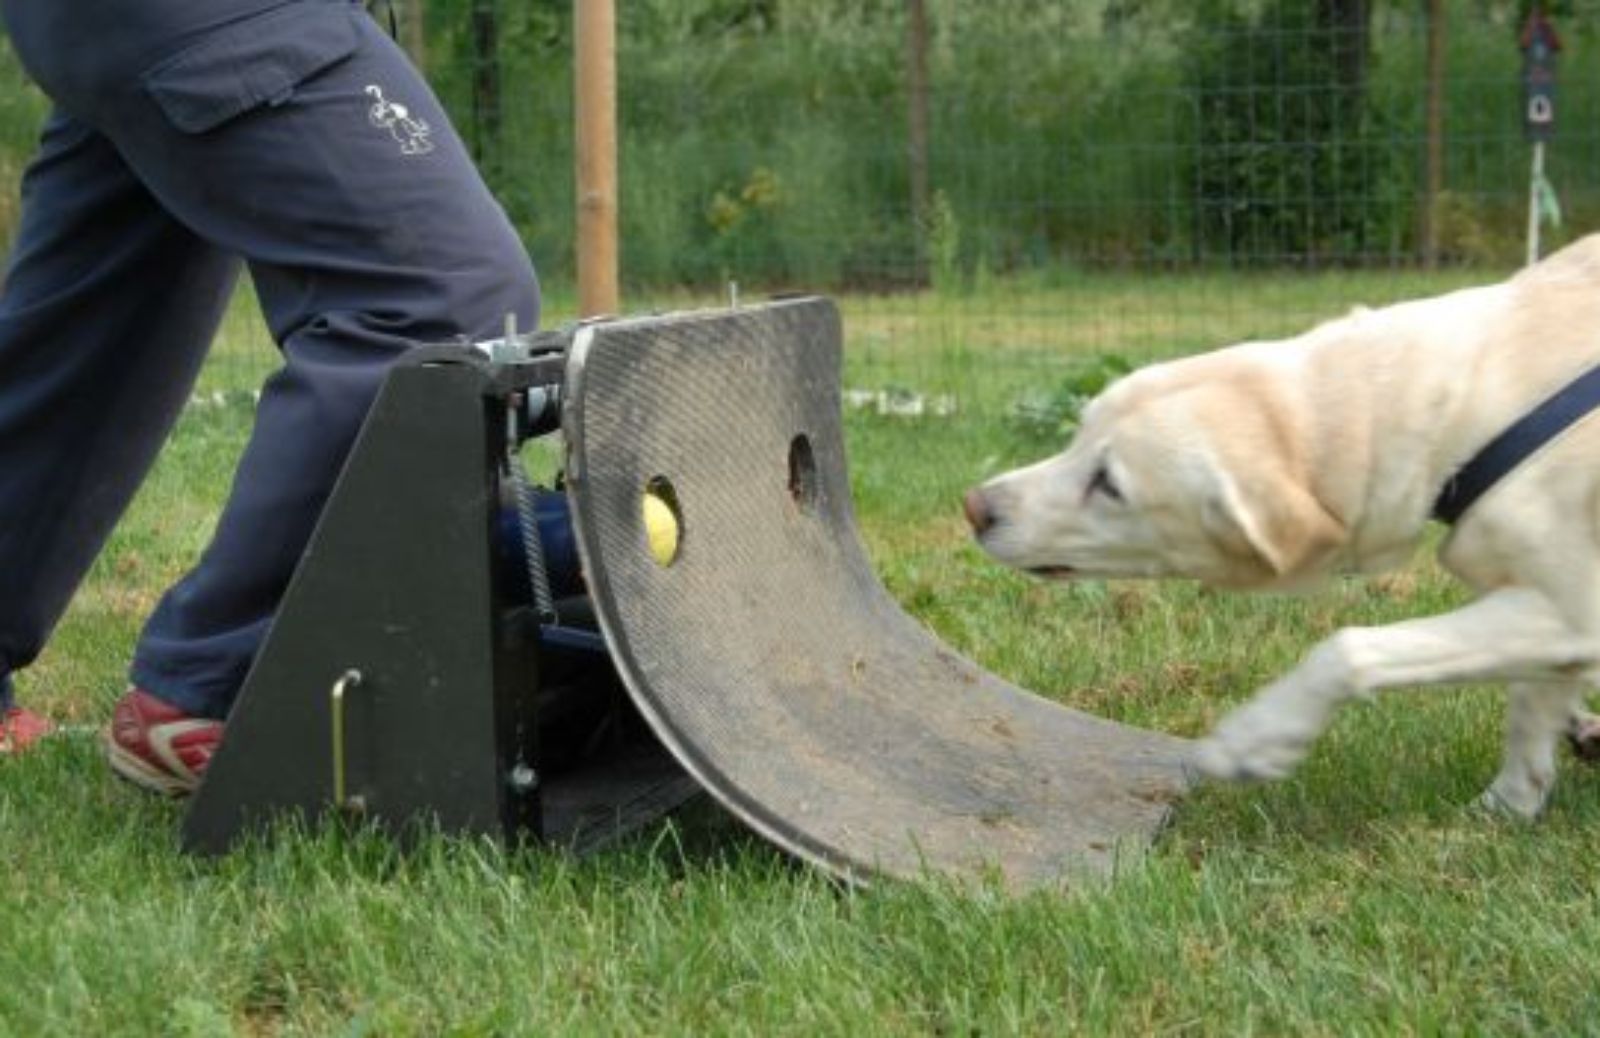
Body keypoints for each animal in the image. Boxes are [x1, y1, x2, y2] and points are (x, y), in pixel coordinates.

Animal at [966, 235, 1600, 818]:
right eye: (1078, 433)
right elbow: (1530, 710)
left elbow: (1347, 648)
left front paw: (1254, 742)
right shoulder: (1539, 600)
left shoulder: (1572, 610)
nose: (975, 507)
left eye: (1110, 484)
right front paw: (1506, 808)